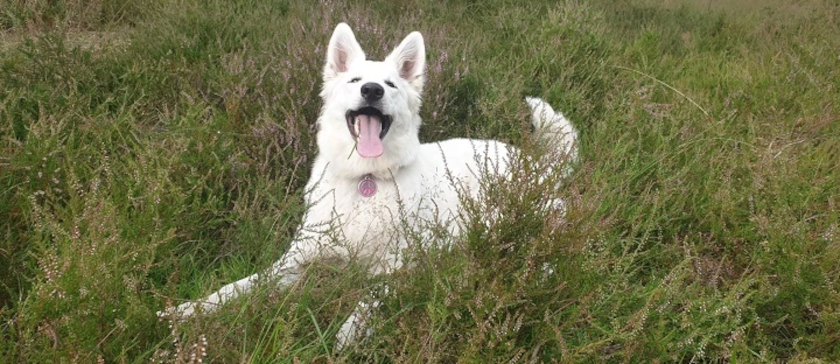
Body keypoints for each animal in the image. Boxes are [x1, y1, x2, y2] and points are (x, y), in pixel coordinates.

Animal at [167, 22, 580, 350]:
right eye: (355, 81)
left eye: (390, 84)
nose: (371, 91)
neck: (365, 180)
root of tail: (536, 163)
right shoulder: (294, 262)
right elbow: (239, 287)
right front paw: (186, 309)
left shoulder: (393, 266)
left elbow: (368, 300)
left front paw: (346, 335)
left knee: (544, 252)